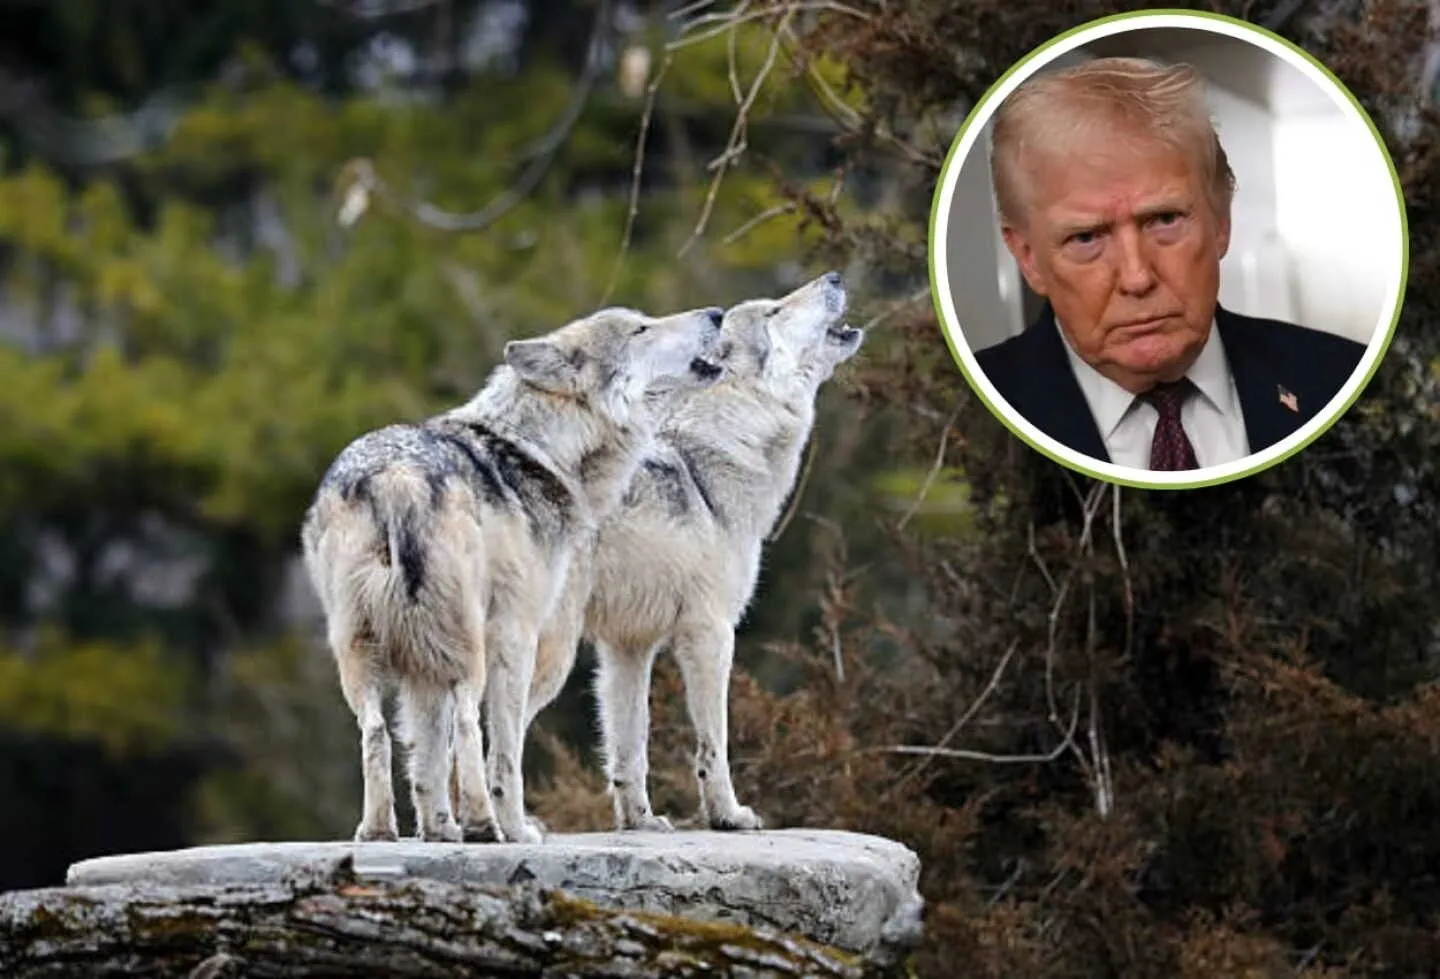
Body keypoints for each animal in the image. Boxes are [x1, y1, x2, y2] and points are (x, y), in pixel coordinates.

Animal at [301, 303, 723, 845]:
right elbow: (504, 750)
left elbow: (427, 759)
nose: (716, 313)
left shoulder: (421, 665)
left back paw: (378, 832)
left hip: (362, 650)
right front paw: (513, 826)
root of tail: (397, 477)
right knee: (467, 723)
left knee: (375, 732)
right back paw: (486, 826)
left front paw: (439, 830)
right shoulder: (516, 633)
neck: (540, 450)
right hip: (468, 646)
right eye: (640, 328)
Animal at [524, 271, 863, 833]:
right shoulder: (710, 632)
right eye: (774, 311)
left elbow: (630, 748)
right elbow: (714, 744)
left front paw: (639, 822)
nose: (835, 276)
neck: (718, 451)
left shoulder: (628, 648)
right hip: (551, 654)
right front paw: (728, 815)